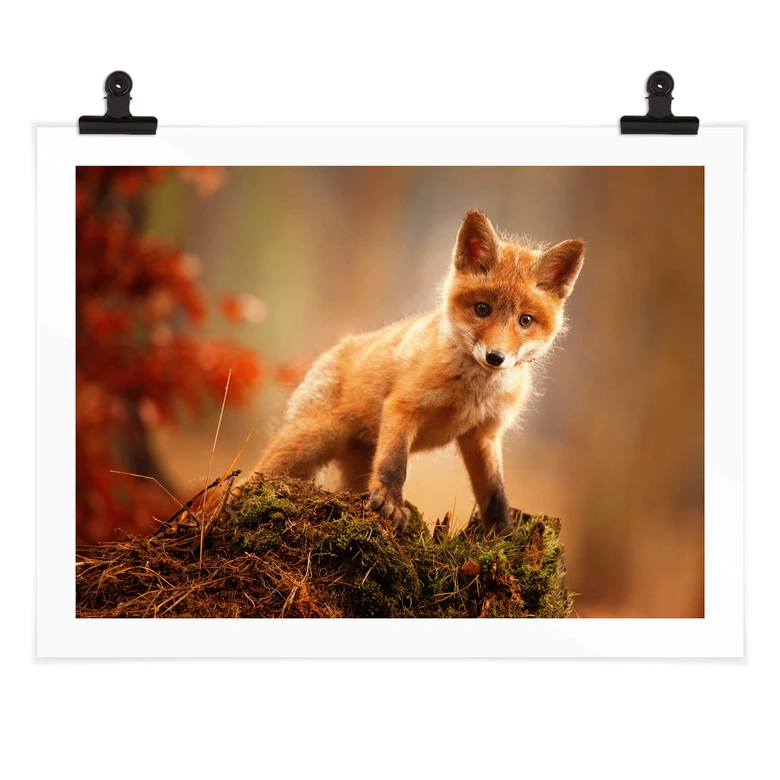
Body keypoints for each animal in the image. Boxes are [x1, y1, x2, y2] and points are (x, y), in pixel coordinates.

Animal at [254, 210, 584, 534]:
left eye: (525, 320)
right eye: (482, 309)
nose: (495, 357)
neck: (472, 393)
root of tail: (331, 350)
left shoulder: (483, 434)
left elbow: (495, 494)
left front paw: (502, 535)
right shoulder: (403, 407)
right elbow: (394, 465)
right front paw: (391, 504)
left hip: (353, 464)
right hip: (311, 441)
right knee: (253, 477)